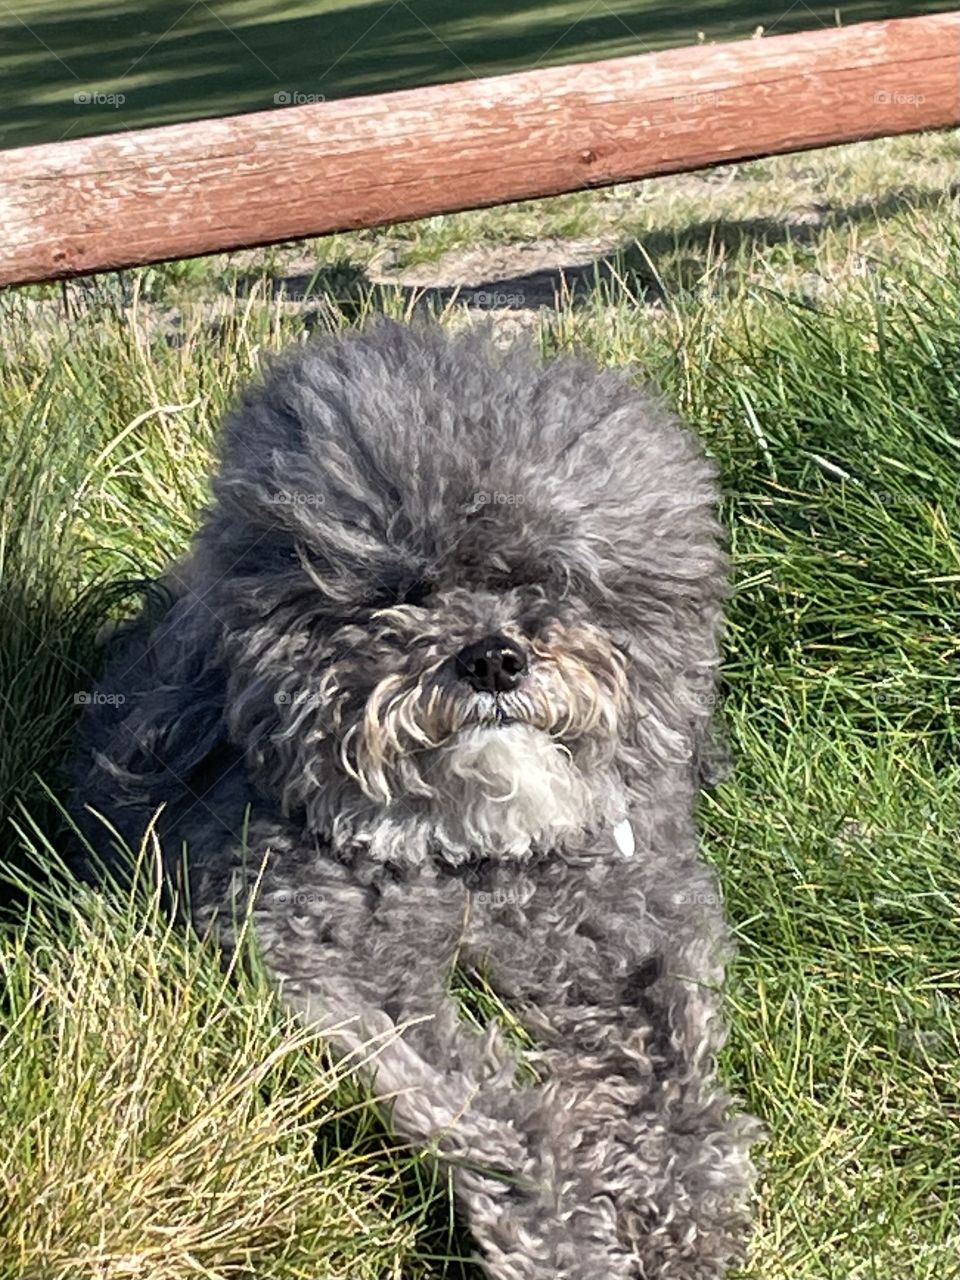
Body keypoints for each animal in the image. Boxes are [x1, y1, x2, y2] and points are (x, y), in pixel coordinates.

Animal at [69, 322, 757, 1280]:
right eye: (399, 592)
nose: (494, 657)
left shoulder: (634, 931)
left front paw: (680, 1203)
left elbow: (668, 1061)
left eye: (552, 581)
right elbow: (483, 1104)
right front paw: (565, 1232)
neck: (471, 861)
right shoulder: (332, 972)